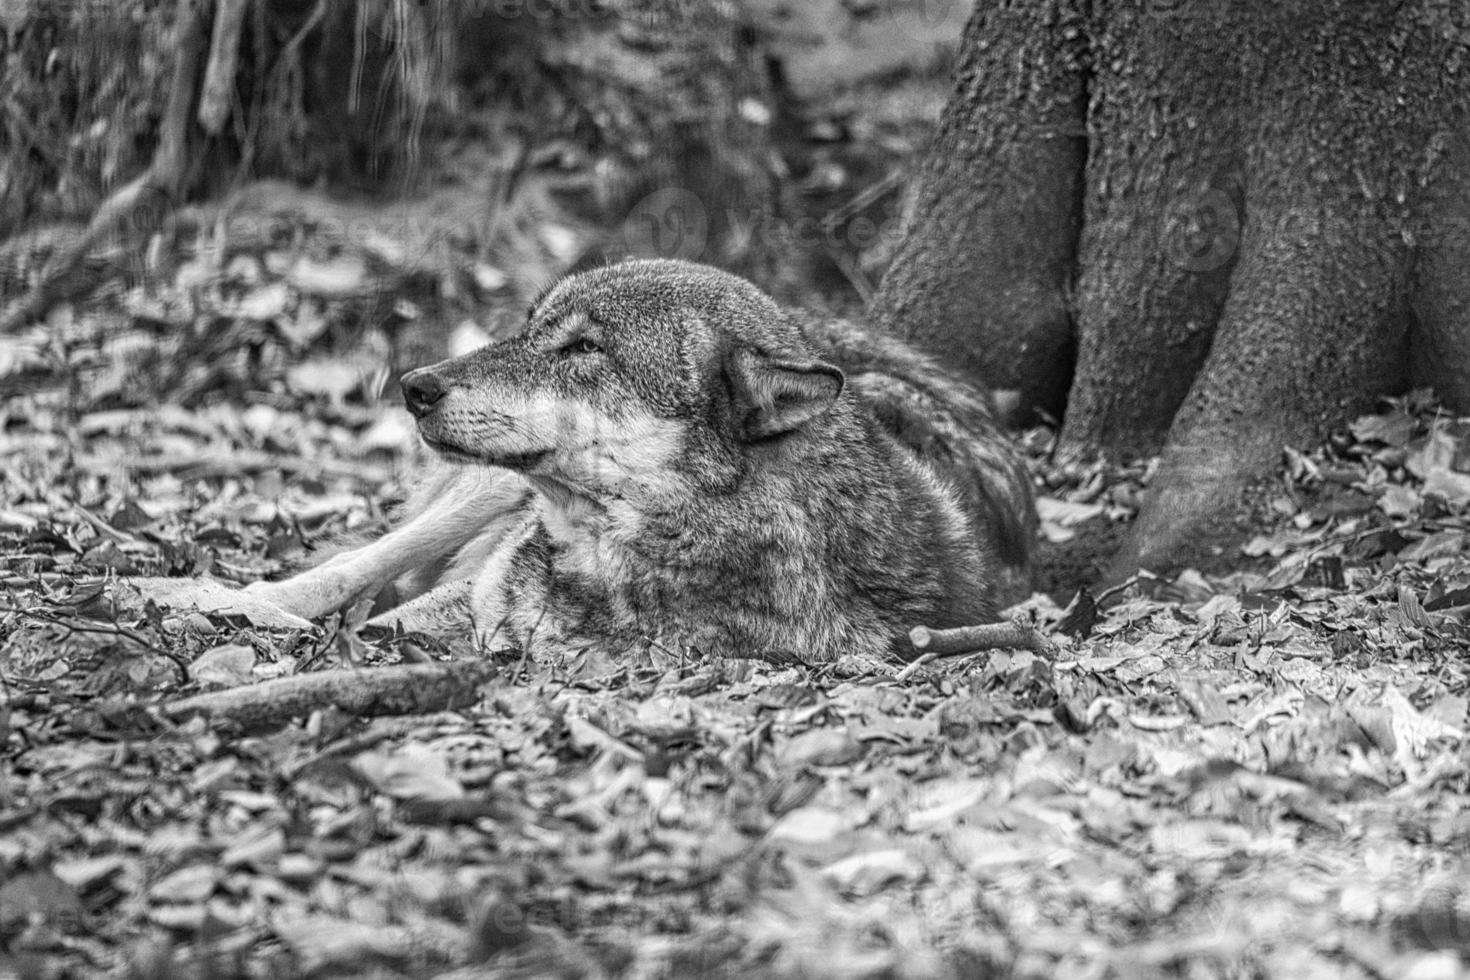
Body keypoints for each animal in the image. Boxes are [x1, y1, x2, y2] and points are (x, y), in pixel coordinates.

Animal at [246, 257, 1034, 664]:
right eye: (530, 331)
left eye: (584, 349)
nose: (414, 386)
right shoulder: (482, 586)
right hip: (482, 497)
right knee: (352, 565)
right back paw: (230, 599)